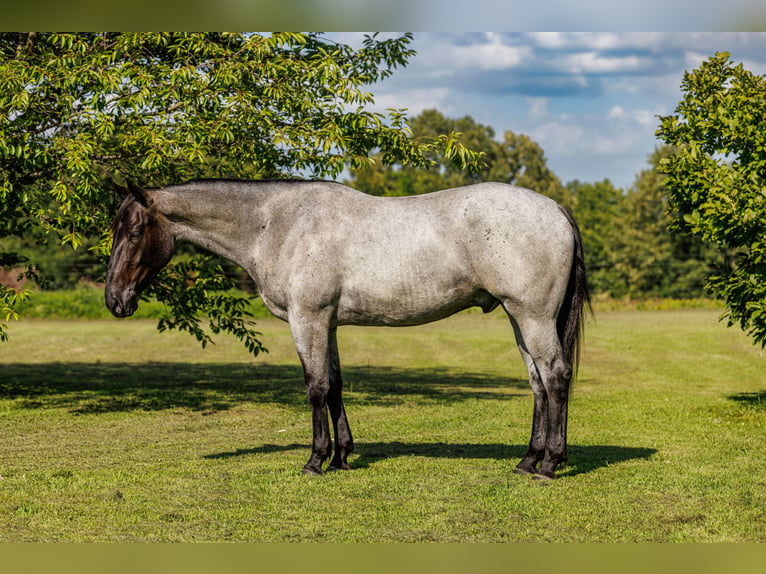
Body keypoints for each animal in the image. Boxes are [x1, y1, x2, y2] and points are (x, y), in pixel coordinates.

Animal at [105, 178, 589, 480]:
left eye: (134, 233)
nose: (115, 300)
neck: (279, 224)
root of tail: (556, 209)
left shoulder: (308, 318)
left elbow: (316, 387)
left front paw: (316, 460)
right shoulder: (328, 322)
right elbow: (336, 384)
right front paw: (342, 457)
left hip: (532, 316)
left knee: (555, 377)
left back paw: (549, 465)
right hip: (518, 317)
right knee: (538, 383)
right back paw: (528, 460)